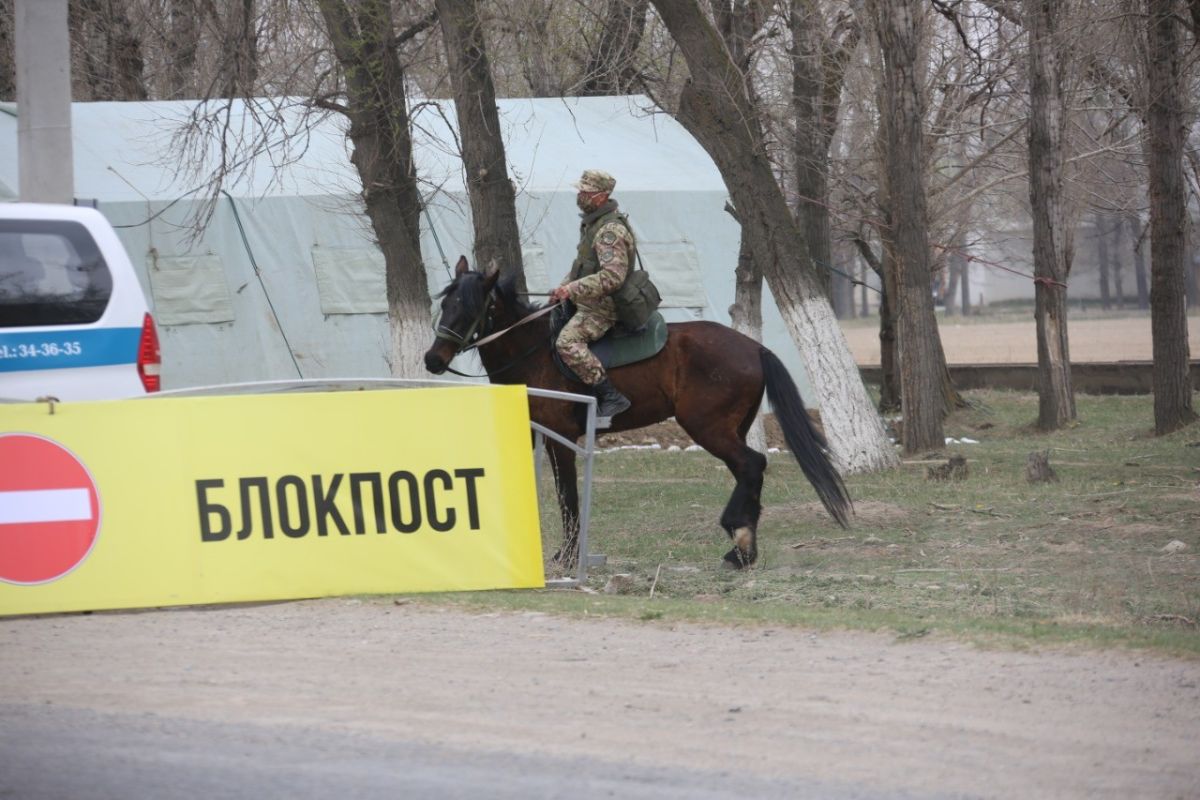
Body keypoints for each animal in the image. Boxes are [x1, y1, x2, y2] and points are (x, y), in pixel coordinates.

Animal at [424, 257, 854, 568]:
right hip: (731, 429)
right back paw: (743, 549)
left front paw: (567, 557)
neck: (535, 352)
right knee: (749, 471)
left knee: (752, 465)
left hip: (707, 428)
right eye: (445, 303)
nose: (433, 359)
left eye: (470, 306)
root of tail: (754, 347)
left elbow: (567, 497)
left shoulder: (561, 440)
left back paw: (738, 540)